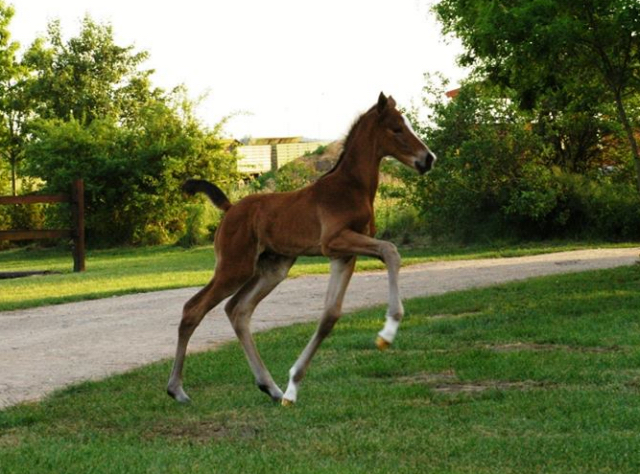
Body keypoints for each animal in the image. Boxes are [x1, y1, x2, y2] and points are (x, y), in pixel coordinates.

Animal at [166, 93, 436, 408]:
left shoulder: (344, 255)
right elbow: (391, 250)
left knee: (238, 310)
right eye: (396, 129)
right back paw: (177, 390)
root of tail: (230, 208)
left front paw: (293, 386)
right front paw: (388, 332)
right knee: (193, 309)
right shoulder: (335, 241)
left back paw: (271, 388)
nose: (428, 159)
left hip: (274, 269)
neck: (351, 186)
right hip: (234, 268)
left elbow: (330, 316)